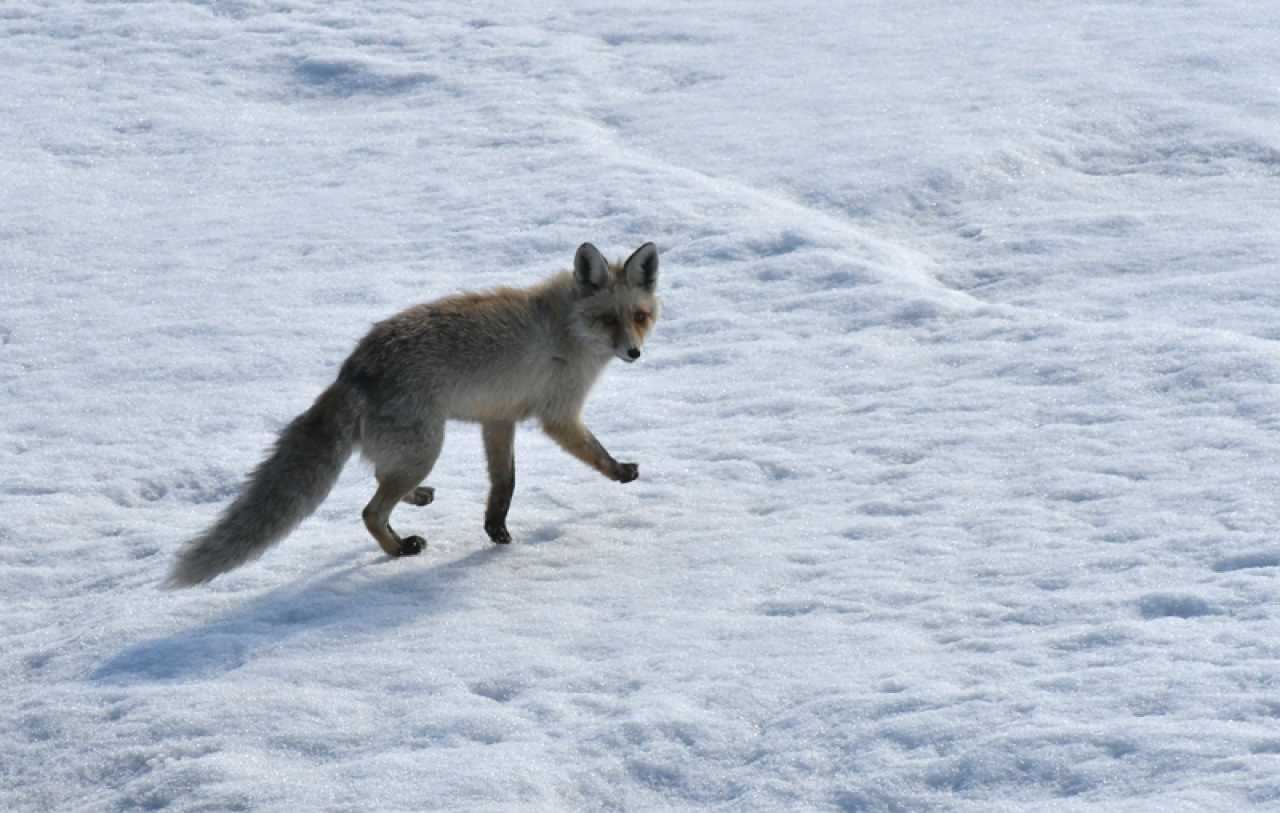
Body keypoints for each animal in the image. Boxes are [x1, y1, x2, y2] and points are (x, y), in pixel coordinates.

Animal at [166, 241, 660, 586]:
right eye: (608, 320)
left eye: (639, 316)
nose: (634, 353)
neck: (567, 330)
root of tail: (353, 369)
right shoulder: (559, 414)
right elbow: (594, 454)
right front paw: (620, 471)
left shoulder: (497, 419)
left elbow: (504, 483)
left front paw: (496, 530)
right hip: (428, 446)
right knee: (370, 510)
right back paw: (400, 548)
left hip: (413, 451)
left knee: (380, 481)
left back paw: (417, 501)